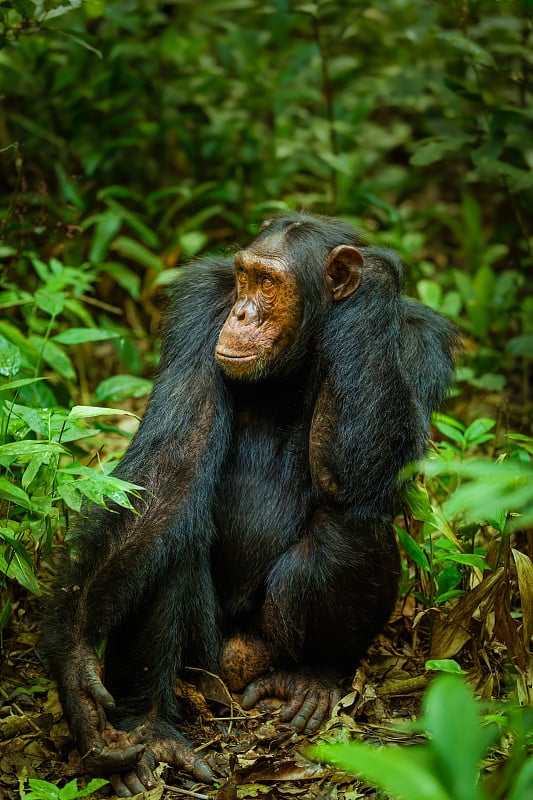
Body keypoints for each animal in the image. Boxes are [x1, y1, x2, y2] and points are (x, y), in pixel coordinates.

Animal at [41, 211, 458, 792]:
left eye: (269, 283)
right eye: (244, 277)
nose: (242, 312)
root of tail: (235, 669)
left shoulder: (420, 343)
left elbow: (355, 473)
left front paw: (370, 276)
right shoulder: (201, 310)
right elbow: (172, 468)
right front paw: (76, 670)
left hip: (270, 643)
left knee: (349, 519)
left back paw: (312, 679)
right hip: (203, 659)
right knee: (170, 531)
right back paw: (149, 728)